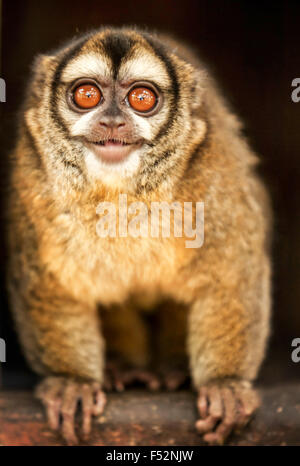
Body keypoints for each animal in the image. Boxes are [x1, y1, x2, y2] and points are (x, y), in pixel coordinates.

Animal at [7, 27, 270, 446]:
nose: (113, 121)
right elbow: (51, 283)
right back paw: (121, 367)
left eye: (142, 98)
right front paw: (71, 383)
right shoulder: (32, 179)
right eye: (87, 95)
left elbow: (231, 273)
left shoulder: (215, 169)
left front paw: (226, 385)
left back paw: (173, 369)